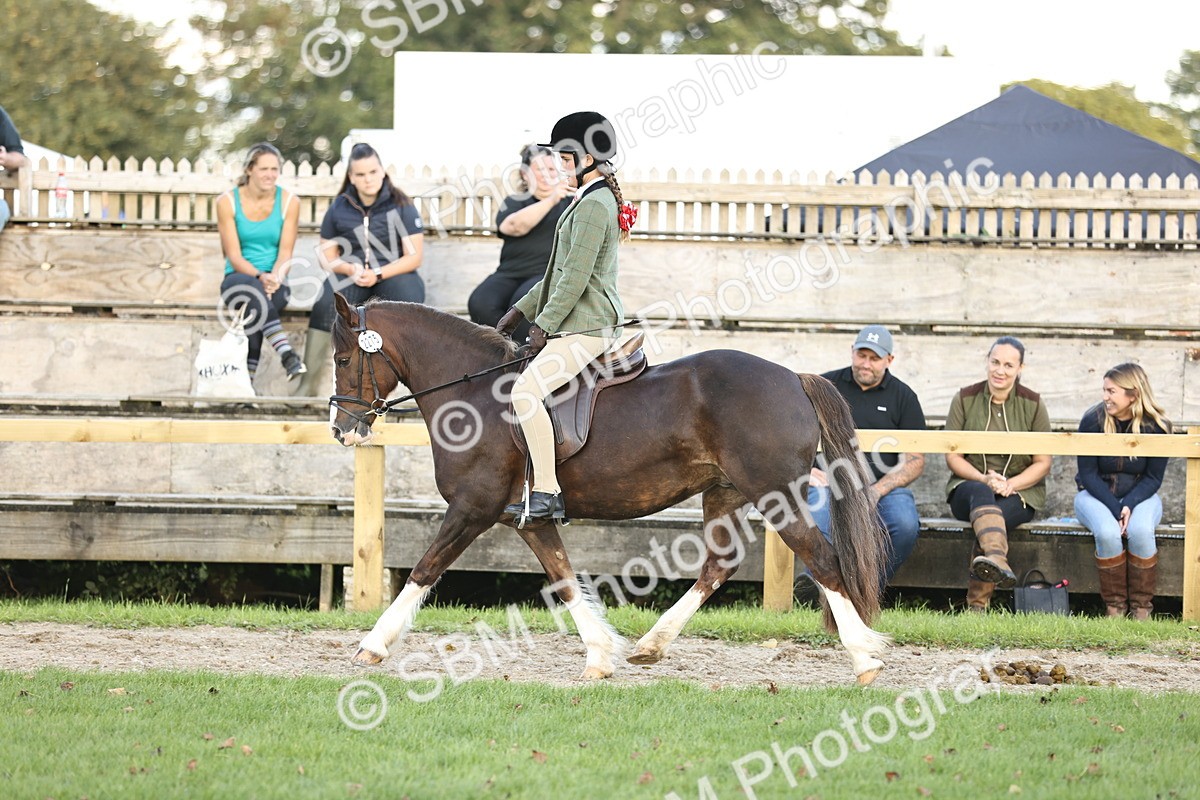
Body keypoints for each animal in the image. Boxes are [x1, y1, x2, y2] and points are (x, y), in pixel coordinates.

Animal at [328, 293, 891, 685]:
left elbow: (423, 570)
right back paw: (651, 645)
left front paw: (373, 645)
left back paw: (864, 658)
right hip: (725, 493)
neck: (475, 394)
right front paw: (601, 655)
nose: (341, 429)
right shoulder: (526, 519)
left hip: (778, 495)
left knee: (823, 560)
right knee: (718, 566)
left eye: (342, 359)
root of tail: (794, 377)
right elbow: (564, 579)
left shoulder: (472, 508)